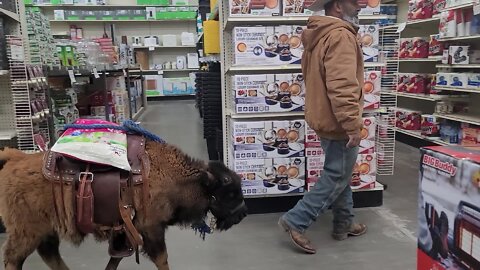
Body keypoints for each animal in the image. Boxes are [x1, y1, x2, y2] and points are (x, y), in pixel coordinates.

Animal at [0, 141, 248, 270]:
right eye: (229, 190)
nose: (243, 214)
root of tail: (14, 159)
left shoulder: (127, 233)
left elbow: (115, 259)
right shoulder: (150, 229)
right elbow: (162, 258)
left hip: (46, 231)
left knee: (49, 254)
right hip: (27, 233)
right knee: (14, 258)